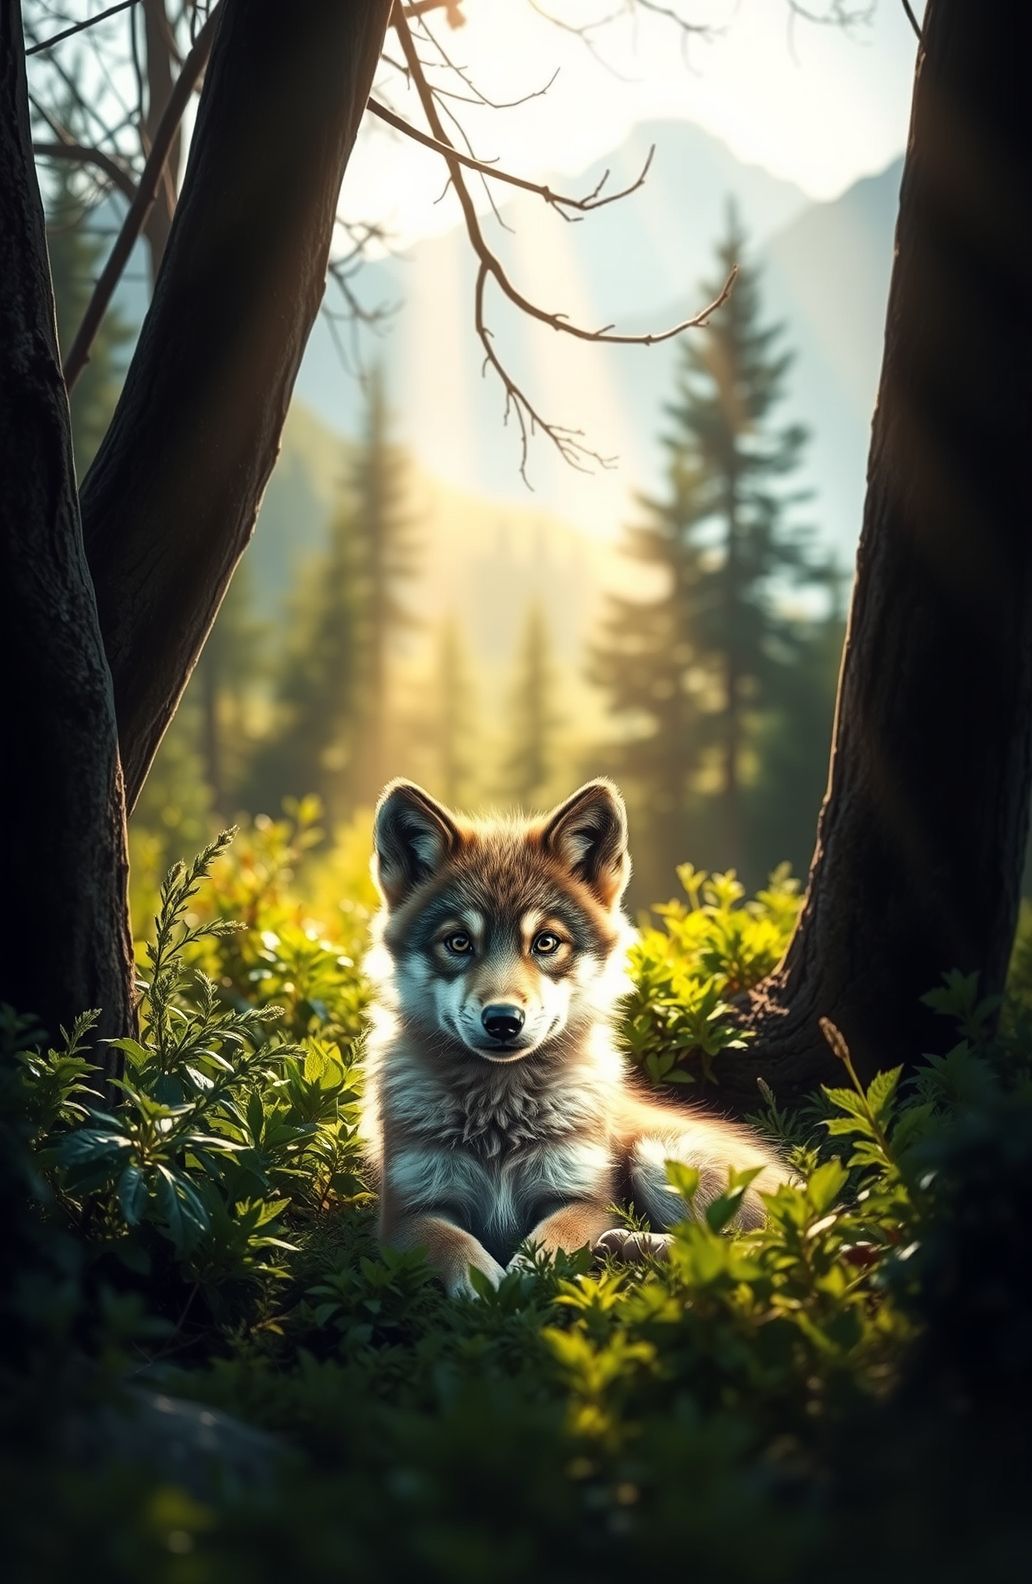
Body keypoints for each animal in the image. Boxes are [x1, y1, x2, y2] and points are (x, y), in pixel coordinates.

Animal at [360, 777, 793, 1298]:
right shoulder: (408, 1211)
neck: (499, 1117)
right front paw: (487, 1287)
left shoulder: (585, 1197)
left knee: (752, 1248)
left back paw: (634, 1244)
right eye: (458, 942)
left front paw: (525, 1278)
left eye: (546, 942)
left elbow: (549, 1240)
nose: (503, 1020)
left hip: (656, 1158)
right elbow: (457, 1246)